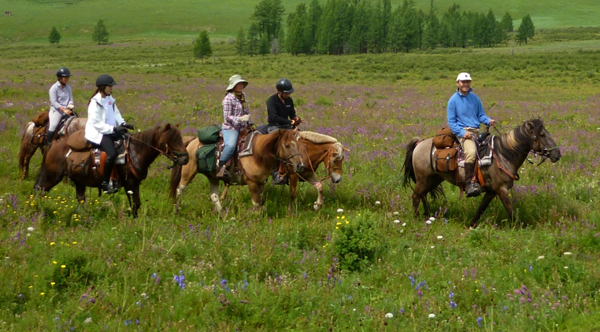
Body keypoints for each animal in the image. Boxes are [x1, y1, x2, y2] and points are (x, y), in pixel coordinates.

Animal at [33, 123, 188, 217]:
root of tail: (53, 144)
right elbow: (134, 205)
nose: (185, 159)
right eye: (170, 140)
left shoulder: (134, 184)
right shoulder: (129, 183)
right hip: (52, 177)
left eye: (180, 138)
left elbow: (137, 204)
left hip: (78, 181)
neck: (135, 151)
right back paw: (37, 211)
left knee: (80, 199)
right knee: (40, 190)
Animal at [169, 128, 304, 214]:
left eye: (298, 145)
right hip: (188, 173)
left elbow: (261, 203)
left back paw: (223, 214)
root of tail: (192, 141)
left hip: (213, 177)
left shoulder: (260, 182)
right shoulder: (251, 182)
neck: (257, 153)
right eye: (287, 145)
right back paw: (176, 211)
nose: (300, 165)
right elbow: (256, 204)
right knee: (179, 190)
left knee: (214, 195)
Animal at [404, 120, 564, 228]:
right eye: (542, 134)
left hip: (433, 179)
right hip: (424, 179)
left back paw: (428, 216)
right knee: (416, 196)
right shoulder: (502, 190)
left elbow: (481, 209)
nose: (557, 154)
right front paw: (520, 230)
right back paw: (418, 219)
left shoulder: (491, 192)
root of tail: (420, 143)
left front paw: (471, 225)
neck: (503, 155)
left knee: (423, 195)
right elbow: (511, 212)